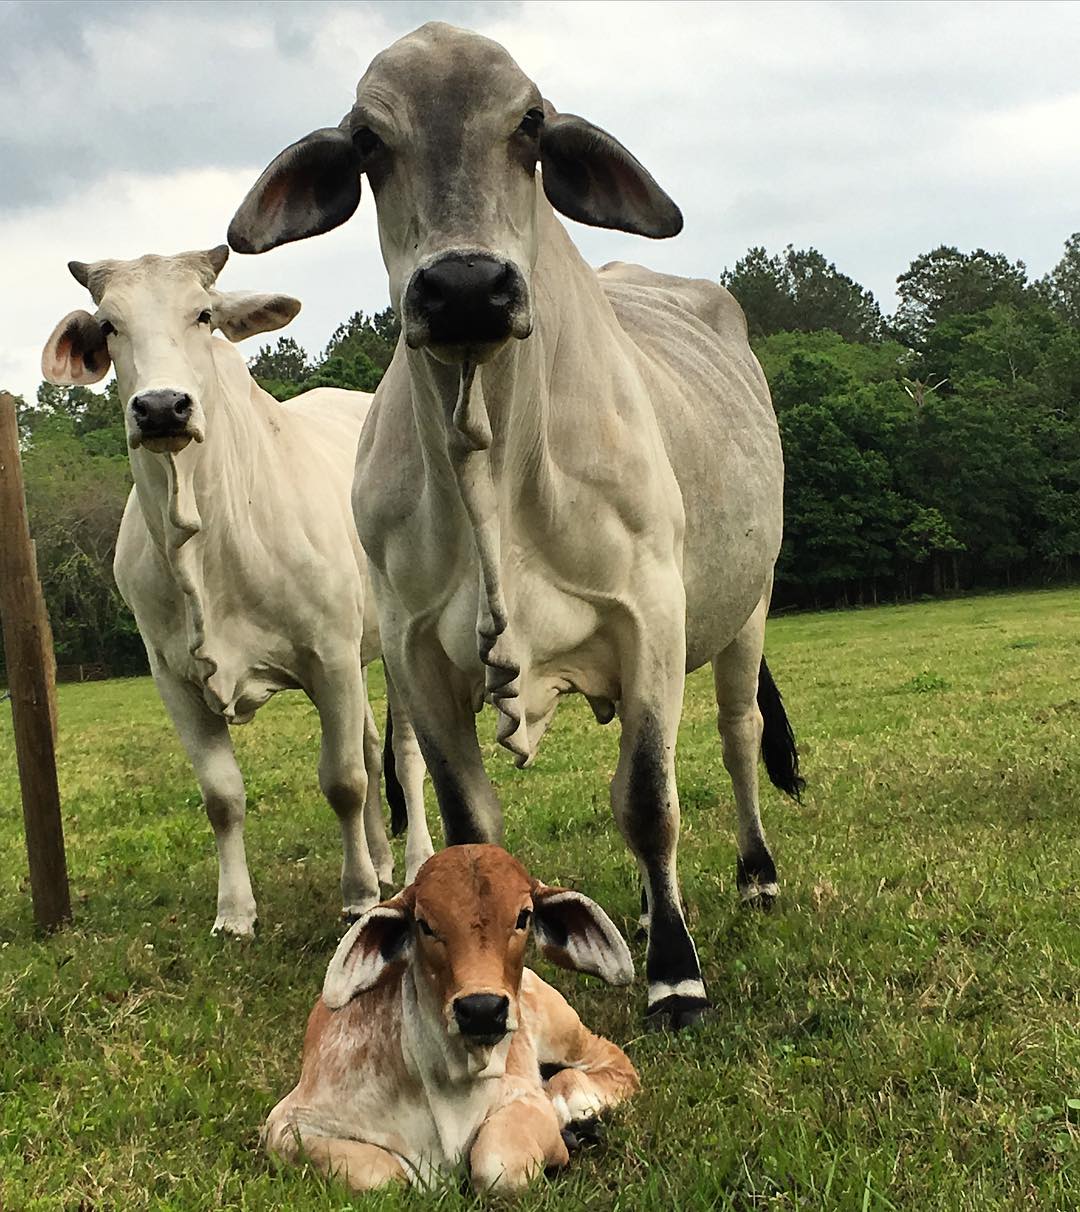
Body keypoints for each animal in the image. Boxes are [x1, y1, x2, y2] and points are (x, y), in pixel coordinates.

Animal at [40, 247, 434, 935]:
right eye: (109, 325)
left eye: (203, 314)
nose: (162, 407)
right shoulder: (173, 678)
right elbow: (222, 796)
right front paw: (235, 912)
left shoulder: (329, 657)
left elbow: (344, 782)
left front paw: (358, 895)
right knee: (366, 743)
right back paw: (384, 861)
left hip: (394, 640)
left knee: (404, 757)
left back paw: (411, 865)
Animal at [227, 22, 803, 1026]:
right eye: (368, 140)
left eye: (530, 122)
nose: (464, 287)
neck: (488, 459)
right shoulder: (415, 654)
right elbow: (469, 825)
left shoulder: (650, 620)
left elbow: (648, 801)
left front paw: (676, 975)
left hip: (748, 607)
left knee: (734, 738)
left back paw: (753, 875)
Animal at [263, 843, 639, 1193]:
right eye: (425, 925)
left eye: (523, 917)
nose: (482, 1009)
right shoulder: (288, 1124)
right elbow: (382, 1176)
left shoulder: (522, 1097)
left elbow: (498, 1164)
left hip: (562, 1030)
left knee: (614, 1064)